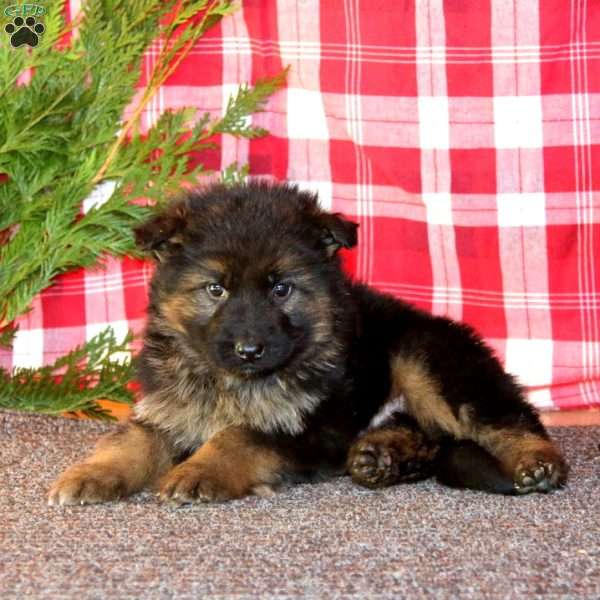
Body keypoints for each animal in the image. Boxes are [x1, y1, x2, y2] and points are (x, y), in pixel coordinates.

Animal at [48, 183, 568, 506]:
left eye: (282, 289)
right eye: (215, 289)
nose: (249, 350)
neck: (229, 381)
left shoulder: (309, 428)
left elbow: (238, 435)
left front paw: (199, 470)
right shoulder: (168, 410)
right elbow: (130, 440)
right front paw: (89, 474)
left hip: (426, 358)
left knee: (506, 418)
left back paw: (537, 462)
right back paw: (382, 455)